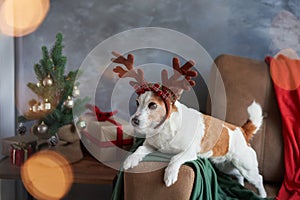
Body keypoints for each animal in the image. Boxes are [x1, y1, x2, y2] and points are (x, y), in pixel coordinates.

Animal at [112, 51, 268, 197]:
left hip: (246, 166)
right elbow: (140, 149)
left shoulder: (189, 152)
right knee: (239, 175)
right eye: (137, 103)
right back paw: (241, 185)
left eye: (152, 105)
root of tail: (241, 130)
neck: (165, 128)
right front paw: (130, 160)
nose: (134, 120)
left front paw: (170, 174)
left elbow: (175, 158)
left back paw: (262, 195)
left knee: (258, 179)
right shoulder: (150, 146)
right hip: (227, 166)